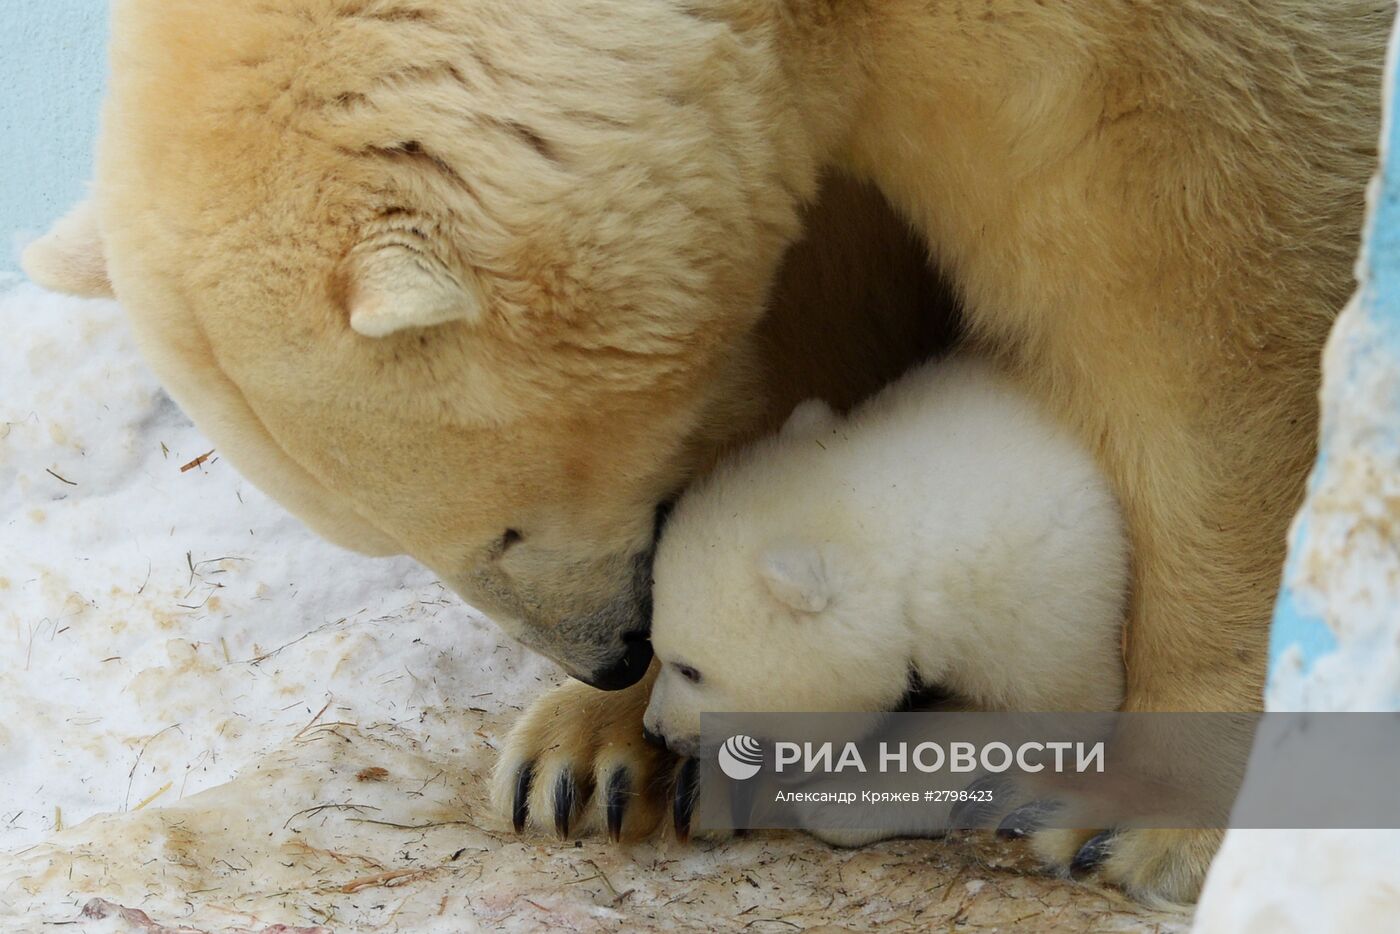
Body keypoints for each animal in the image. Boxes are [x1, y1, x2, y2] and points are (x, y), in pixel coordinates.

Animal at [27, 0, 1383, 907]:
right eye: (400, 547)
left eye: (500, 523)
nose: (608, 650)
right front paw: (586, 758)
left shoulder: (1161, 53)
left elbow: (1202, 320)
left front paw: (1138, 820)